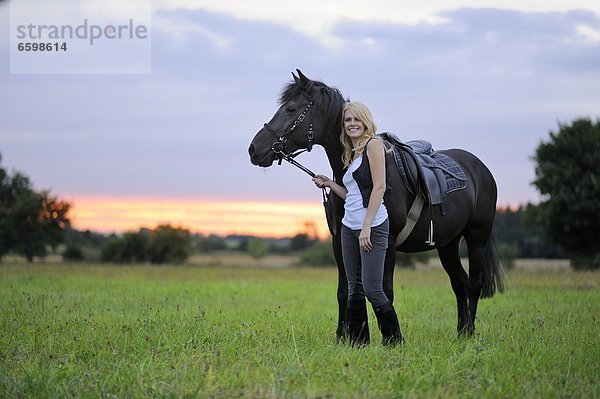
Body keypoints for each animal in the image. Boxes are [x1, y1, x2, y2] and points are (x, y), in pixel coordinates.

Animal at [246, 70, 504, 340]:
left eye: (291, 108)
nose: (254, 149)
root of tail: (480, 168)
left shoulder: (386, 241)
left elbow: (384, 290)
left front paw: (388, 338)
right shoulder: (341, 240)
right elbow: (346, 289)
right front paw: (345, 336)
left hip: (476, 237)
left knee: (473, 284)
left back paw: (469, 333)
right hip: (447, 243)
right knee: (459, 283)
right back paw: (462, 332)